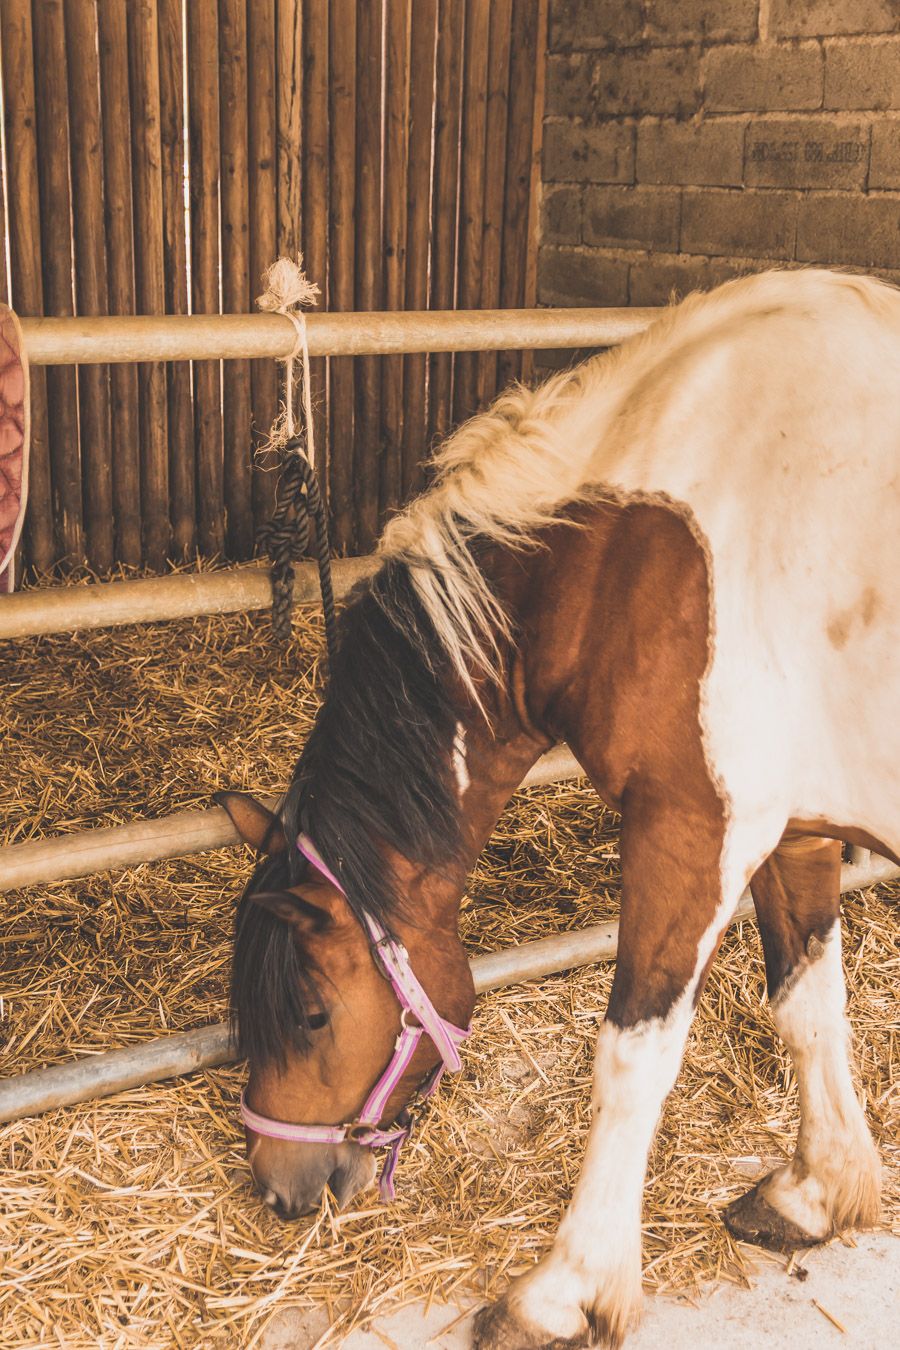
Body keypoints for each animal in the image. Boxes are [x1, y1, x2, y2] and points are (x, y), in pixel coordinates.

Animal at [214, 268, 895, 1344]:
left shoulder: (694, 833)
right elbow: (808, 1002)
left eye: (314, 1014)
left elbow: (631, 1059)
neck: (626, 555)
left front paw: (562, 1291)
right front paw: (815, 1194)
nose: (278, 1187)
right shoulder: (797, 830)